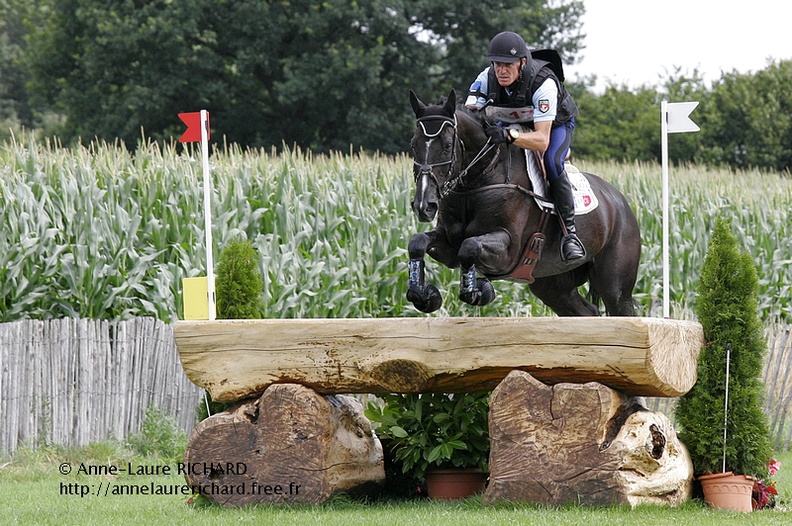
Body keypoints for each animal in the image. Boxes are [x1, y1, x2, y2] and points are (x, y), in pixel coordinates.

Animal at [406, 89, 640, 318]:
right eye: (413, 145)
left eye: (447, 146)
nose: (424, 205)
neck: (478, 179)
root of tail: (620, 202)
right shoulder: (449, 244)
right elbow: (418, 242)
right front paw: (423, 295)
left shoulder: (509, 250)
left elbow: (470, 246)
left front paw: (477, 292)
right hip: (552, 285)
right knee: (587, 311)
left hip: (615, 287)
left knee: (622, 309)